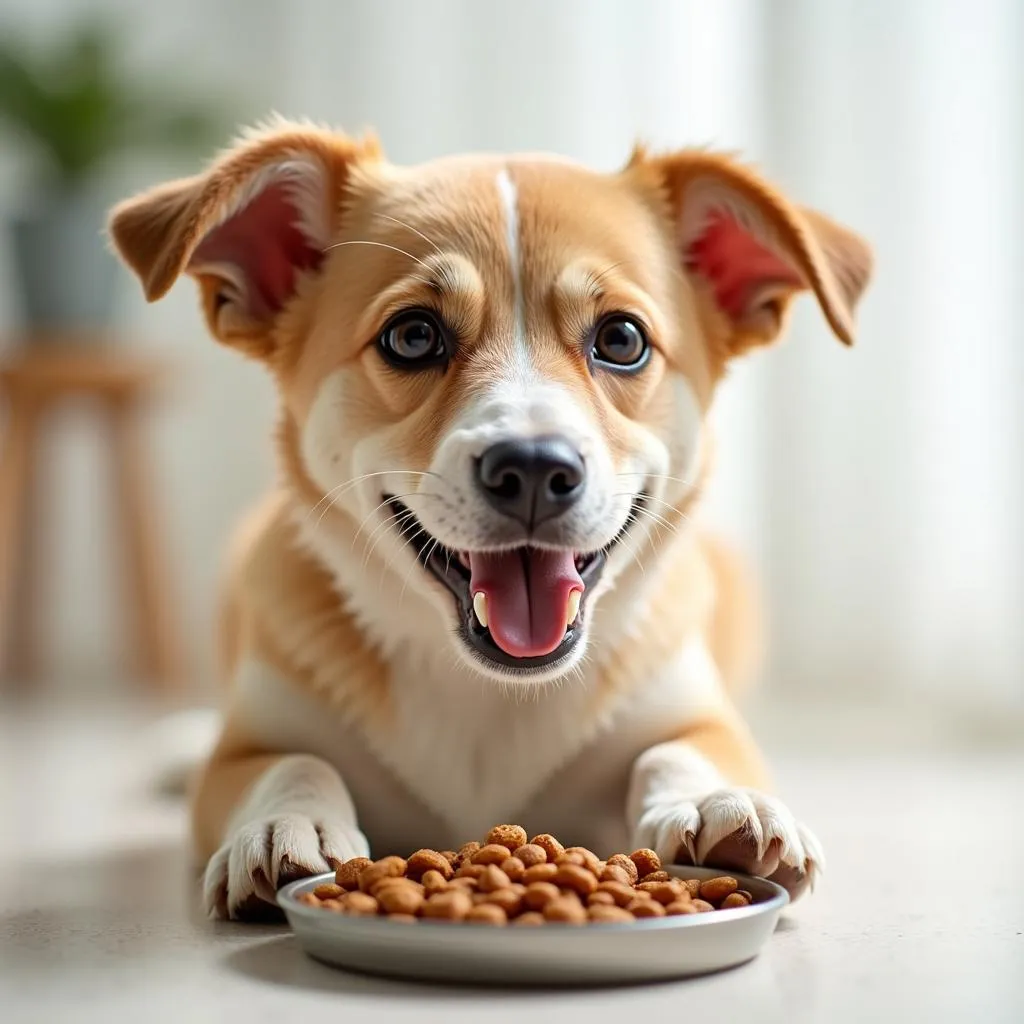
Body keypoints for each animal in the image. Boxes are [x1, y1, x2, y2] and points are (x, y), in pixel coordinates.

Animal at [105, 117, 872, 921]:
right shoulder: (246, 747)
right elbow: (289, 762)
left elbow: (682, 747)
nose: (533, 468)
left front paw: (722, 802)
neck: (491, 690)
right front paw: (290, 822)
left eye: (622, 340)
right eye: (413, 336)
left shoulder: (695, 712)